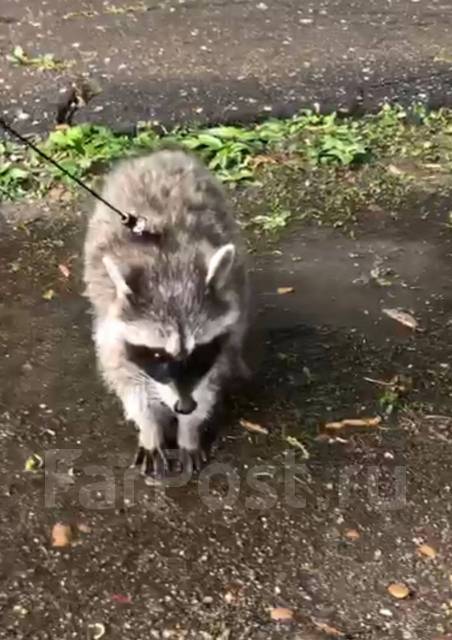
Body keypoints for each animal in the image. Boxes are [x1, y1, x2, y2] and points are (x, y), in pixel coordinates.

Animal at [82, 146, 251, 476]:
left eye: (198, 351)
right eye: (159, 355)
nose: (184, 407)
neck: (170, 273)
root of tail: (156, 154)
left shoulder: (216, 347)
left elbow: (207, 382)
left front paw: (189, 430)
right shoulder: (113, 332)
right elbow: (131, 387)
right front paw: (150, 430)